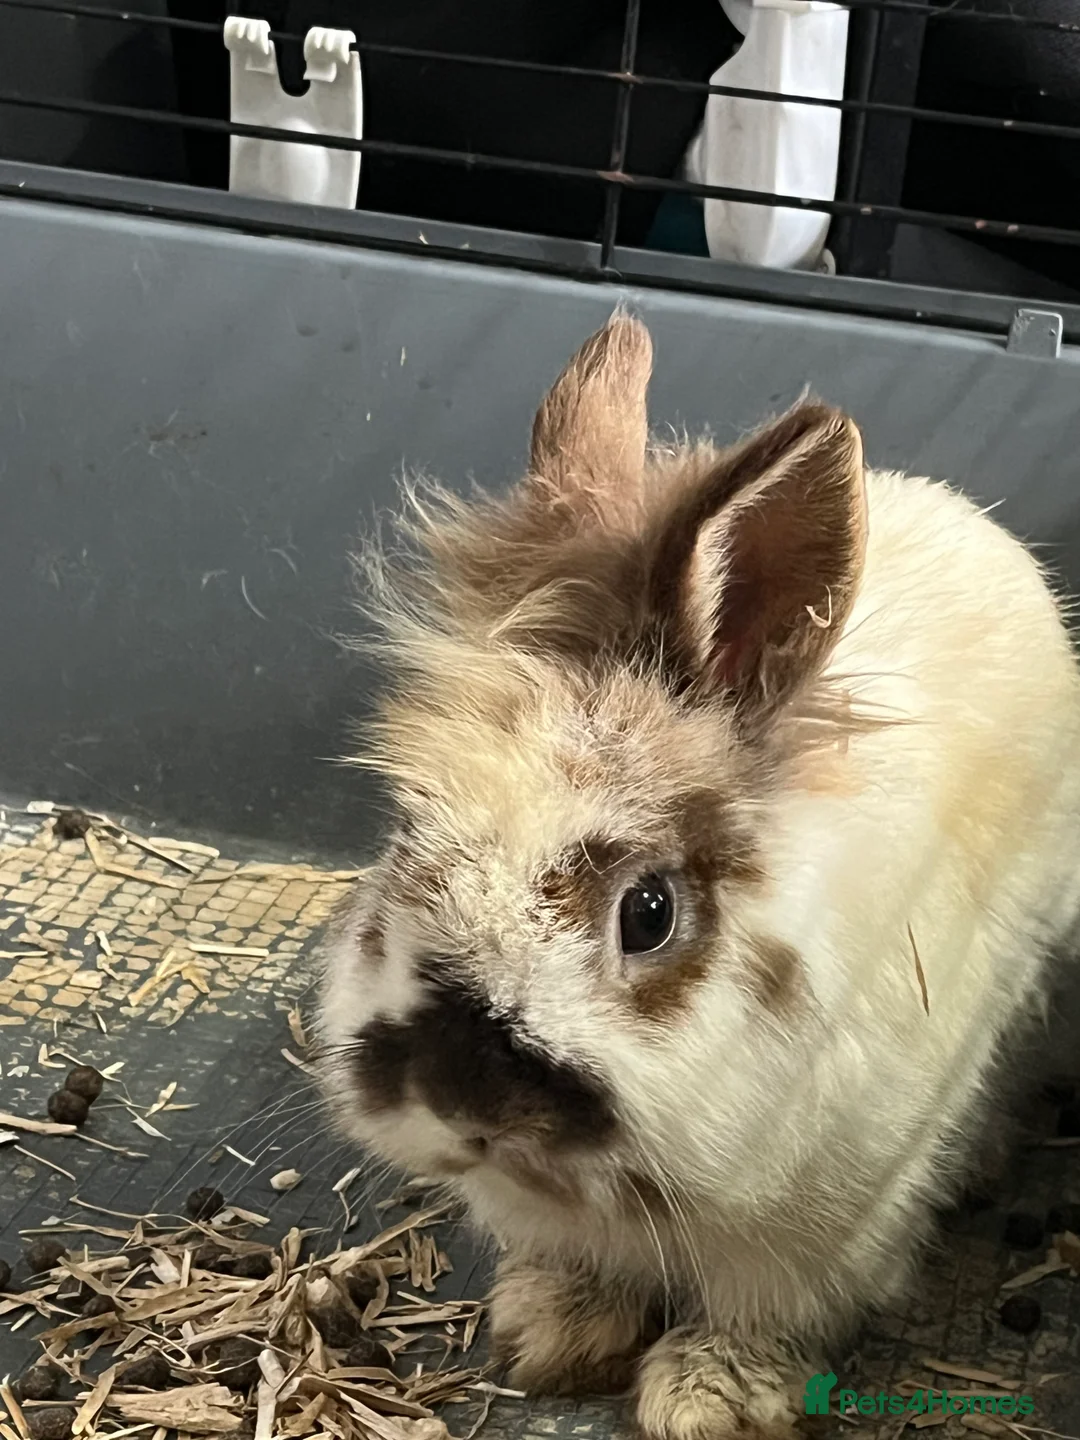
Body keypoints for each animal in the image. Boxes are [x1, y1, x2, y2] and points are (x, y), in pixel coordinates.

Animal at [316, 312, 1080, 1440]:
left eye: (648, 913)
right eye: (407, 841)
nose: (466, 1103)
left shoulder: (831, 1231)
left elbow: (763, 1318)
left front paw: (706, 1400)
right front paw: (553, 1336)